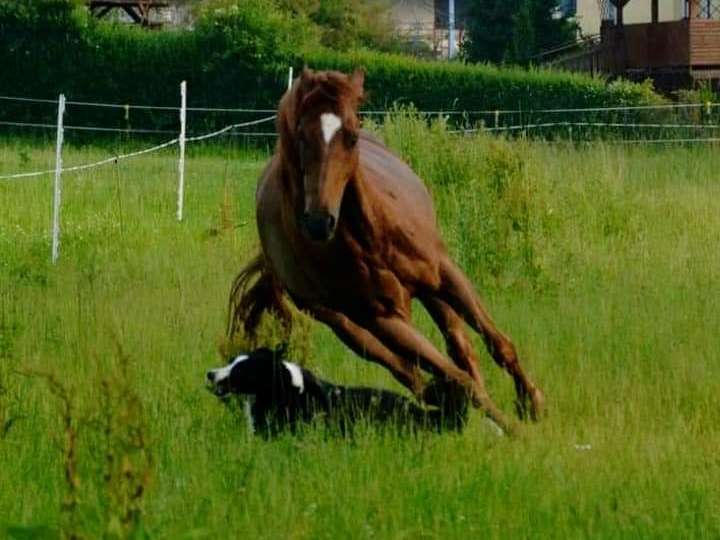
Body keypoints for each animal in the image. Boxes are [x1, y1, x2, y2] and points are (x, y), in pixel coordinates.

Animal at [228, 68, 544, 434]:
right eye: (302, 137)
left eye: (351, 136)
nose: (319, 221)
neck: (372, 238)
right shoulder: (382, 319)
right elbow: (452, 376)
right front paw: (513, 429)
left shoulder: (446, 274)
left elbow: (498, 344)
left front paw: (532, 404)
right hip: (348, 326)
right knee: (412, 371)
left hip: (428, 292)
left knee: (459, 347)